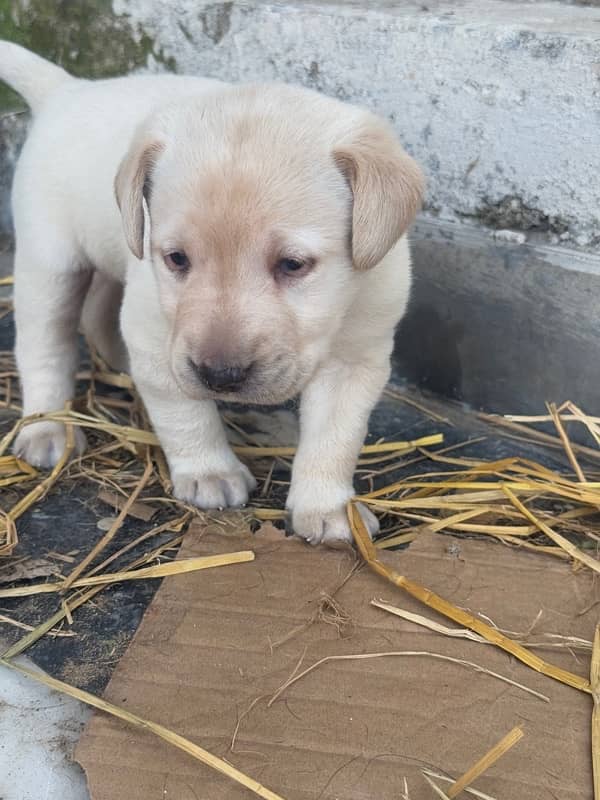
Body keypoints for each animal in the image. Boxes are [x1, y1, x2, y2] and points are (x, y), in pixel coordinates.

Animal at [0, 42, 424, 544]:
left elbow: (335, 437)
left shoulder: (358, 357)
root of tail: (67, 90)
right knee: (45, 344)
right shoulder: (156, 336)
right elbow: (185, 414)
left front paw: (328, 507)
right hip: (50, 261)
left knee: (98, 314)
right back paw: (47, 428)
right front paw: (209, 473)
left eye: (292, 264)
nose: (220, 376)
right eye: (177, 259)